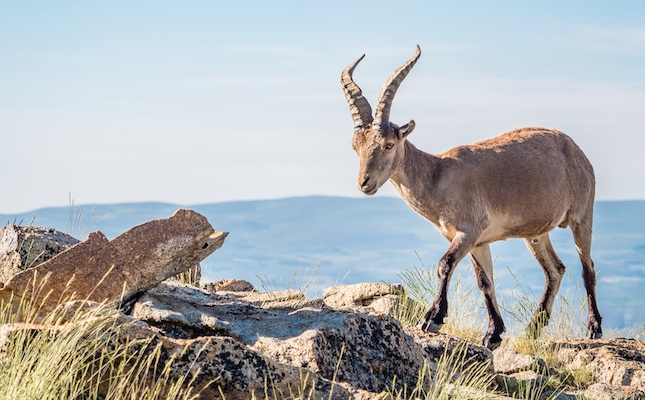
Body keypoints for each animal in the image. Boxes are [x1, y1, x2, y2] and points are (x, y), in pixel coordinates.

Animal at [340, 45, 602, 349]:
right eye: (355, 146)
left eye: (389, 144)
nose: (364, 183)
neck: (437, 176)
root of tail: (576, 150)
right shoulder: (478, 240)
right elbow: (484, 280)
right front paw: (493, 333)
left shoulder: (469, 230)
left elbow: (445, 264)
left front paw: (433, 318)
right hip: (536, 233)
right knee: (555, 269)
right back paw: (532, 329)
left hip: (582, 215)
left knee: (587, 267)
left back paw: (594, 328)